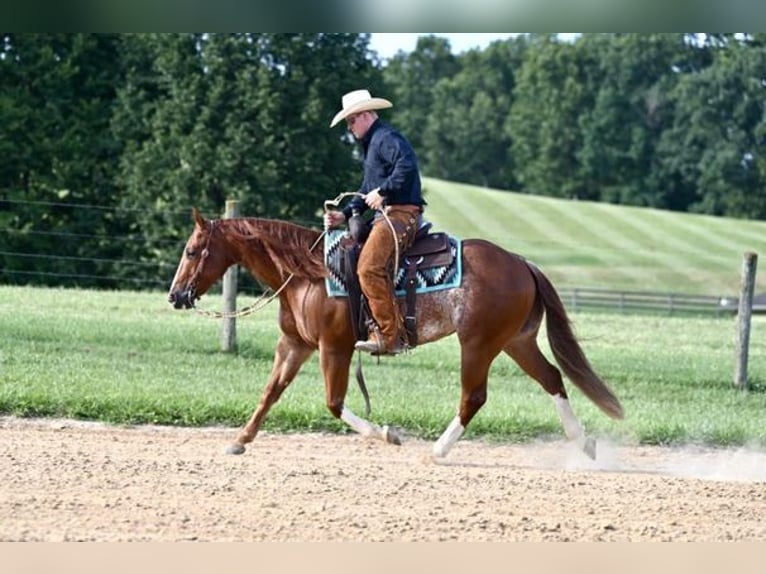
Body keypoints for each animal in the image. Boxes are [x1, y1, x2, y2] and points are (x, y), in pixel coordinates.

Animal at [168, 209, 624, 462]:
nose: (175, 295)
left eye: (191, 251)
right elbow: (270, 392)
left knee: (474, 397)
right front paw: (240, 440)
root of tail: (520, 262)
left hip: (478, 344)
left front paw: (387, 434)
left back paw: (438, 452)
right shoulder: (294, 346)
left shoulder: (334, 349)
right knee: (552, 378)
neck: (306, 274)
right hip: (516, 341)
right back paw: (583, 443)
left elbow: (334, 404)